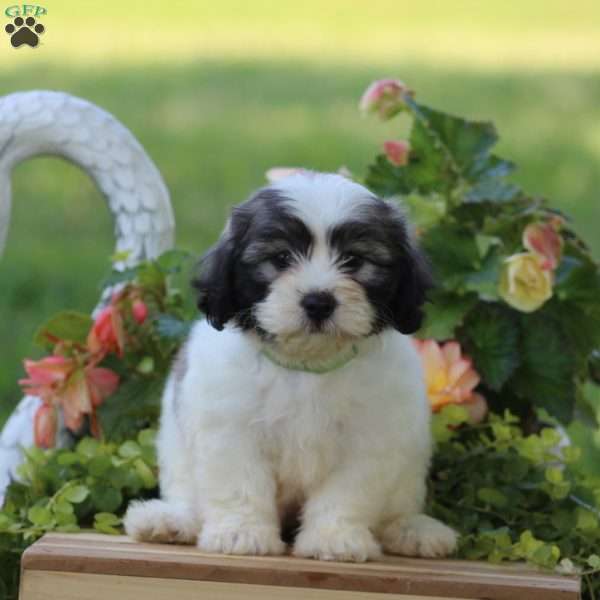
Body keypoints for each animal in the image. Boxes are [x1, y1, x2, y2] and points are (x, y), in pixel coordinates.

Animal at [124, 171, 458, 560]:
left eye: (354, 260)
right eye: (281, 258)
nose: (318, 301)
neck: (306, 365)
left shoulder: (369, 438)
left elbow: (346, 493)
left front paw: (334, 539)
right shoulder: (230, 429)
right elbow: (240, 484)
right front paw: (242, 533)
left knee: (396, 508)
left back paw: (411, 529)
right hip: (177, 456)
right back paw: (168, 521)